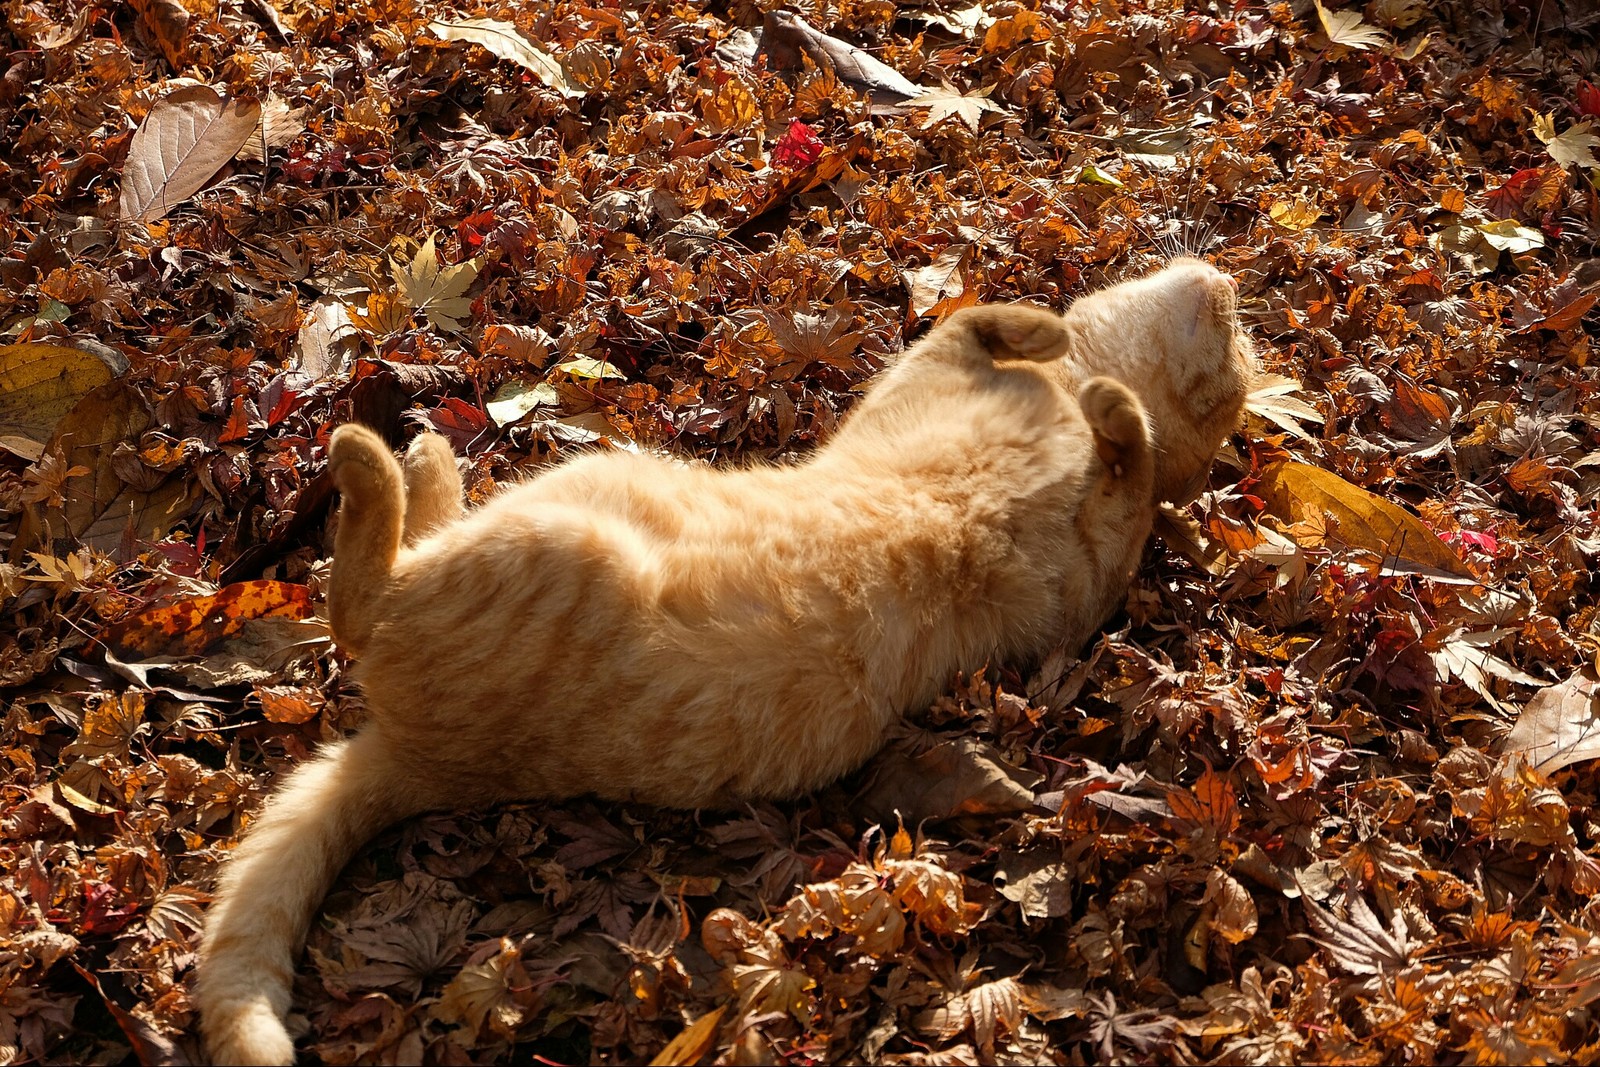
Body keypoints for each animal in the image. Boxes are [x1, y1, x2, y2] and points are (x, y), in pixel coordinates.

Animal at [193, 260, 1254, 1067]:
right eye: (1241, 362)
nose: (1233, 292)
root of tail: (421, 758)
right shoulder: (923, 388)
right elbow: (983, 318)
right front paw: (1054, 336)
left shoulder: (1087, 591)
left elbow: (1127, 470)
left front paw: (1117, 411)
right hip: (574, 493)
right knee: (392, 564)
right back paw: (422, 457)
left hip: (551, 544)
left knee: (362, 596)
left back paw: (377, 454)